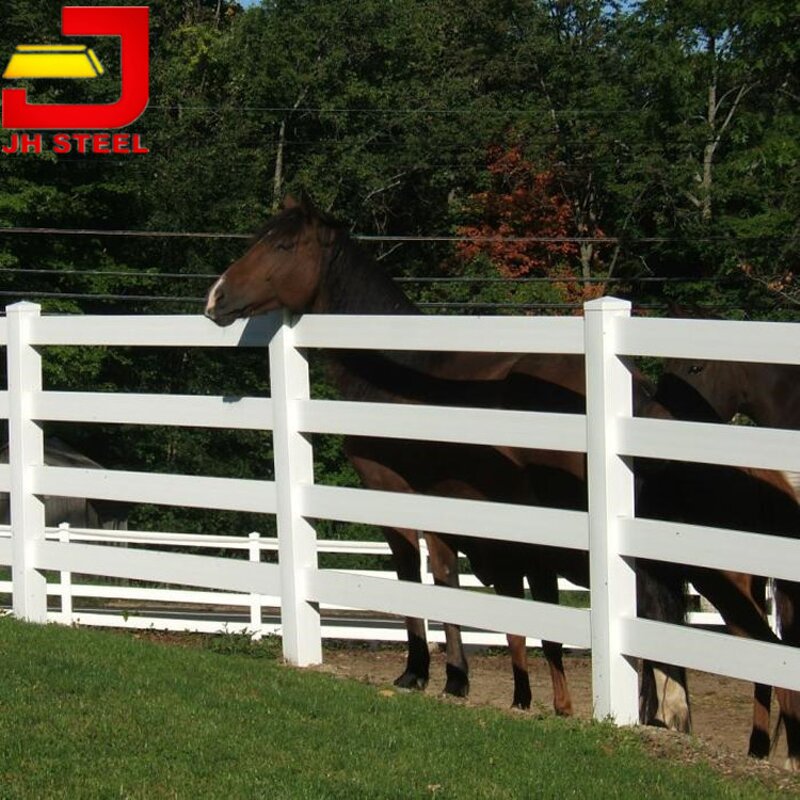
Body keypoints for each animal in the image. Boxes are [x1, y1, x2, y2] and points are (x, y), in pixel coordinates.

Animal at [205, 195, 800, 765]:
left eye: (283, 245)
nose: (215, 298)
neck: (400, 371)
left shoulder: (397, 497)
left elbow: (420, 579)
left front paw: (424, 673)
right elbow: (461, 586)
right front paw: (466, 681)